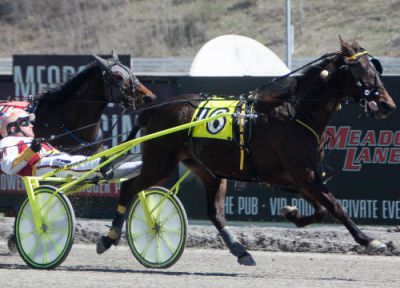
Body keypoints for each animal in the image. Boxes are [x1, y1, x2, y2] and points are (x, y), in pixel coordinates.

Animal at [97, 37, 396, 266]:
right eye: (360, 71)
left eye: (376, 68)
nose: (387, 105)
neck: (295, 113)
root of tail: (155, 109)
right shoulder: (305, 176)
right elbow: (335, 206)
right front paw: (370, 240)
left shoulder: (302, 179)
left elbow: (322, 210)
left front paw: (291, 213)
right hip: (160, 162)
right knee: (129, 187)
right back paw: (109, 237)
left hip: (209, 171)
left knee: (215, 212)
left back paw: (241, 251)